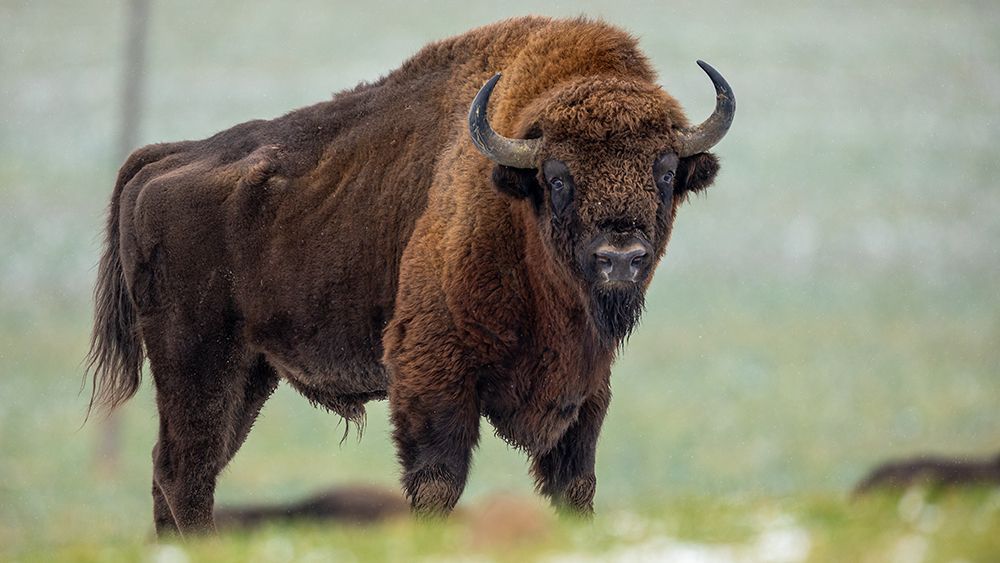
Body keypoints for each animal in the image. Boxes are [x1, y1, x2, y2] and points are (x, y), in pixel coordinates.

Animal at [86, 16, 735, 535]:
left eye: (665, 170)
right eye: (557, 175)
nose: (620, 256)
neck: (513, 202)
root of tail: (163, 158)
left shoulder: (584, 390)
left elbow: (574, 485)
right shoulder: (432, 373)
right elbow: (438, 484)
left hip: (248, 373)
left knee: (181, 469)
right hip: (196, 361)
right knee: (186, 471)